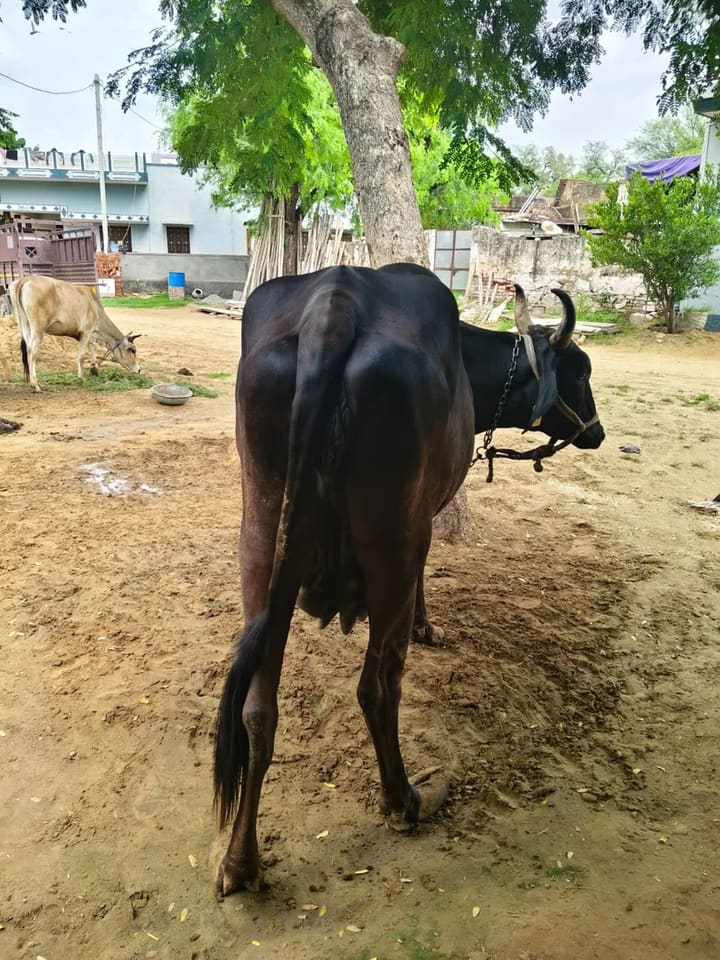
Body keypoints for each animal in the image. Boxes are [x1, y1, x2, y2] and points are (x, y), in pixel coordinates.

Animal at [9, 275, 142, 392]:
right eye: (132, 350)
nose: (139, 369)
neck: (95, 307)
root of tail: (25, 279)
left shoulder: (89, 334)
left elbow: (92, 347)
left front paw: (94, 369)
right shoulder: (87, 330)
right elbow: (81, 355)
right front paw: (81, 378)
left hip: (25, 325)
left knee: (27, 349)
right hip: (38, 328)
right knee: (33, 352)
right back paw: (35, 385)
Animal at [213, 263, 604, 895]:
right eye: (580, 372)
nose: (596, 431)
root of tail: (335, 303)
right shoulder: (424, 522)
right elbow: (422, 587)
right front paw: (426, 626)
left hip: (260, 546)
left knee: (256, 709)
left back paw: (240, 862)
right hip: (392, 546)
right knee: (377, 687)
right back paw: (405, 801)